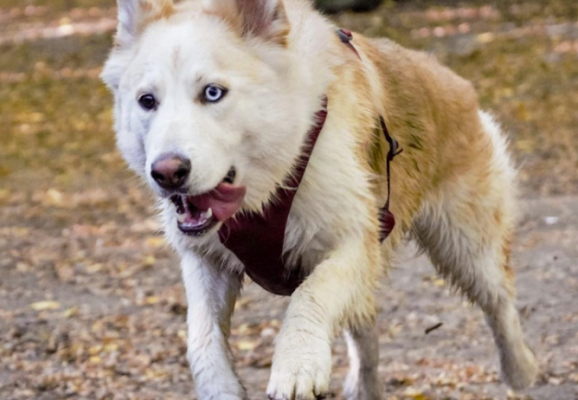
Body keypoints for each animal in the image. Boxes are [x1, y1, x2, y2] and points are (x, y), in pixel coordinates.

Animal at [101, 0, 536, 398]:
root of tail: (453, 80)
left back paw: (520, 371)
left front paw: (297, 363)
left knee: (501, 304)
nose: (167, 173)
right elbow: (201, 336)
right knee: (366, 330)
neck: (269, 187)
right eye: (147, 101)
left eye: (212, 93)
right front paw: (220, 388)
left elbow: (310, 295)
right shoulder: (206, 261)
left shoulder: (354, 243)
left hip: (468, 250)